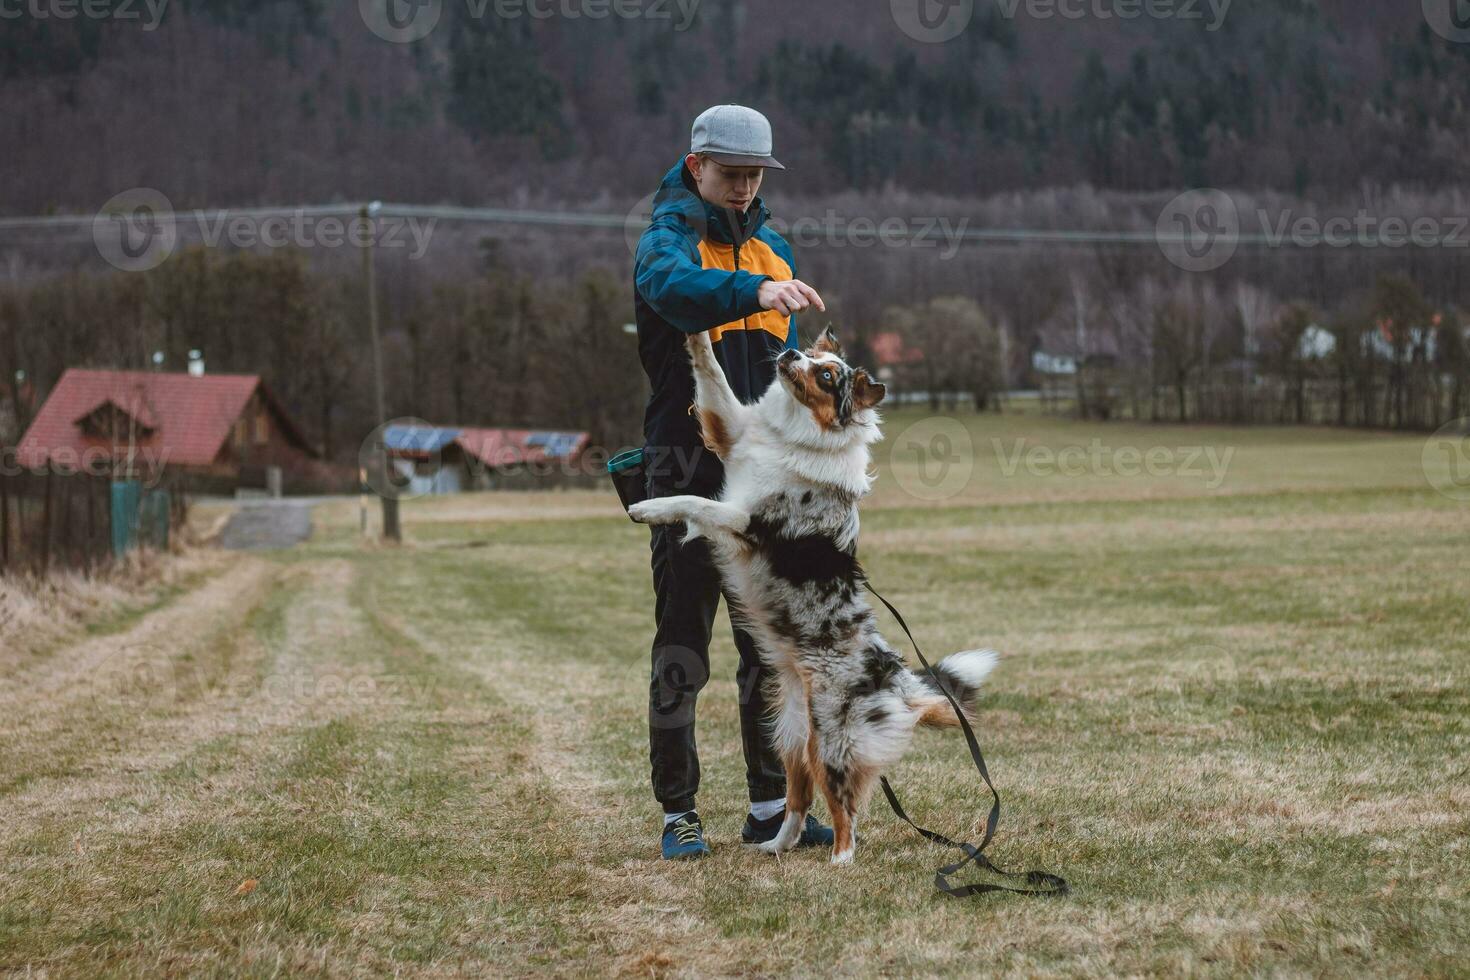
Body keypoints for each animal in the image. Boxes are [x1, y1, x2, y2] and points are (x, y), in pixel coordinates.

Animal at [626, 326, 993, 863]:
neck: (793, 435)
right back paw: (775, 846)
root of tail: (901, 681)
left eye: (825, 376)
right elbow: (711, 373)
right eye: (815, 357)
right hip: (791, 737)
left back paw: (840, 857)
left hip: (832, 741)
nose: (792, 351)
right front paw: (698, 332)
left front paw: (650, 507)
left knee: (846, 808)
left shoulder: (747, 522)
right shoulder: (730, 430)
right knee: (797, 801)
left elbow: (695, 502)